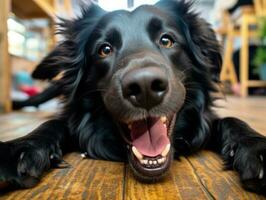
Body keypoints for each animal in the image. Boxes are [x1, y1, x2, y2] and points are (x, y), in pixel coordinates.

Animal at [0, 0, 266, 194]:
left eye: (167, 40)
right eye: (104, 49)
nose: (145, 87)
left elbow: (232, 120)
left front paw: (254, 145)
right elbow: (53, 123)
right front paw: (23, 145)